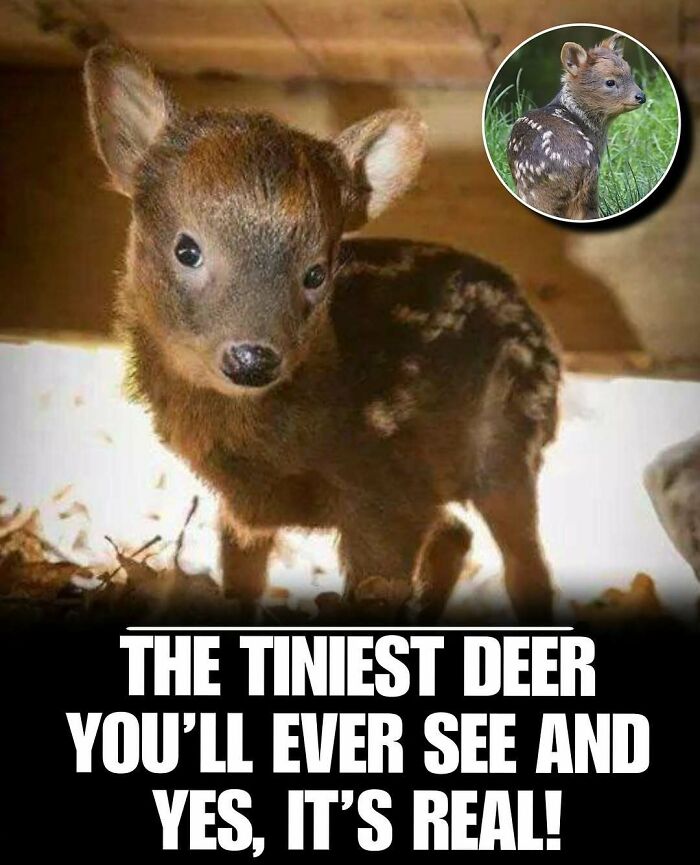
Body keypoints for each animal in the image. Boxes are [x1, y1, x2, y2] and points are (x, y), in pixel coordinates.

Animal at [84, 42, 561, 623]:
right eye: (186, 248)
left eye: (316, 273)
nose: (252, 358)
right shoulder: (245, 508)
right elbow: (241, 576)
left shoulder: (384, 489)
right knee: (456, 534)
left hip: (510, 439)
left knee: (523, 563)